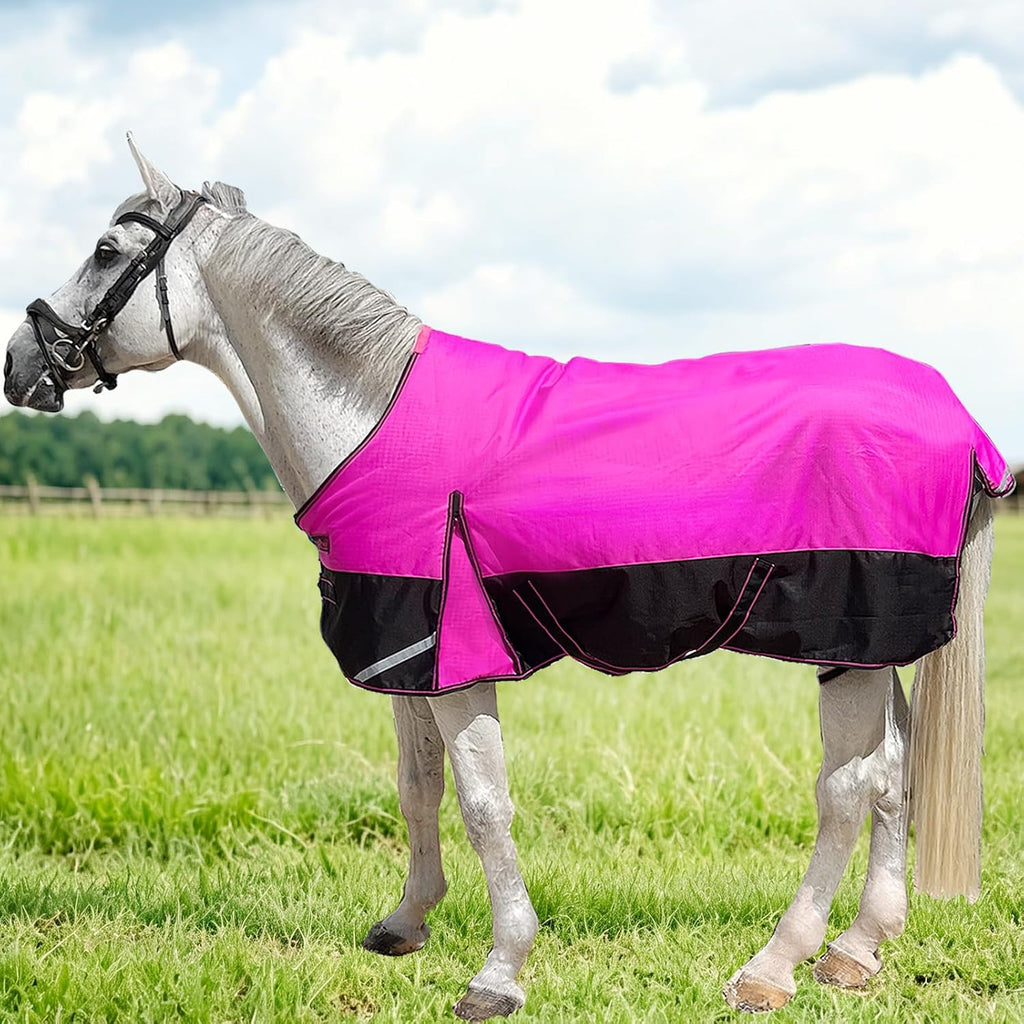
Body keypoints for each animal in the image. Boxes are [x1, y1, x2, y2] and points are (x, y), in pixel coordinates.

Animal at [4, 138, 1014, 1020]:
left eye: (105, 251)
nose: (20, 362)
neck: (371, 415)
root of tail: (957, 417)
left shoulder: (456, 659)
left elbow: (485, 805)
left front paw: (500, 972)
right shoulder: (408, 656)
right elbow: (417, 786)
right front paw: (405, 922)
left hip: (847, 645)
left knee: (845, 792)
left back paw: (773, 967)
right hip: (872, 652)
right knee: (894, 777)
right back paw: (857, 951)